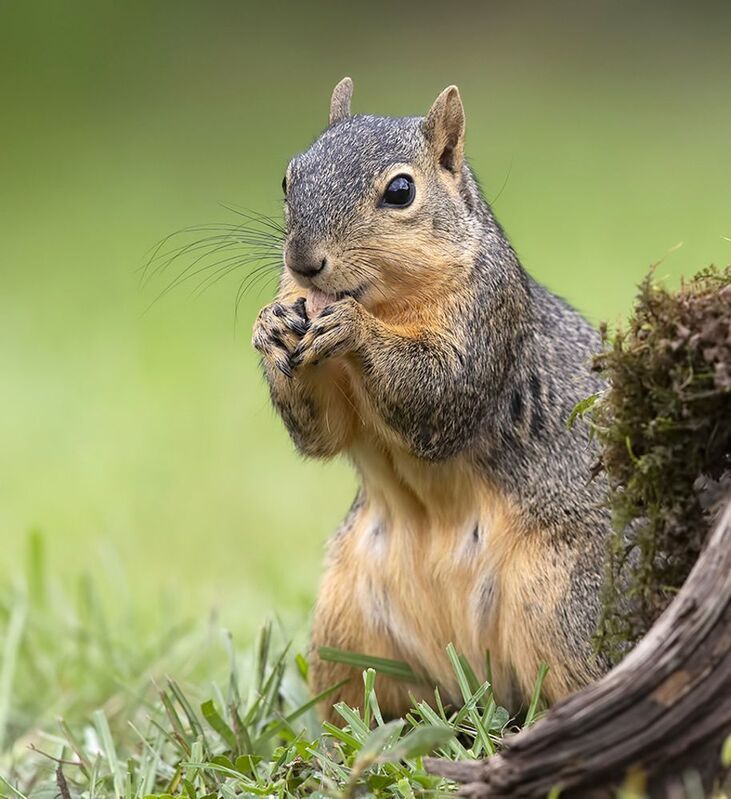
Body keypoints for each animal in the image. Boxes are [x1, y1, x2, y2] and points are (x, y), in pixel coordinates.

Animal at [252, 77, 612, 719]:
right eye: (289, 178)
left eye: (401, 191)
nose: (303, 261)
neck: (386, 301)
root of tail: (481, 684)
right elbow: (323, 434)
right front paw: (269, 326)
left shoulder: (487, 319)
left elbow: (440, 393)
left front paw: (353, 329)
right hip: (346, 628)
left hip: (568, 608)